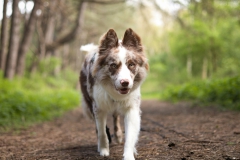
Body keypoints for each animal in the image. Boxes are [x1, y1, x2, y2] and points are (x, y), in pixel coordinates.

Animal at [79, 28, 149, 160]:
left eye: (131, 64)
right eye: (113, 65)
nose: (125, 82)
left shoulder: (132, 108)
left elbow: (130, 136)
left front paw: (129, 155)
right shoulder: (98, 107)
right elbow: (101, 132)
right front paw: (103, 150)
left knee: (116, 117)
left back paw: (118, 136)